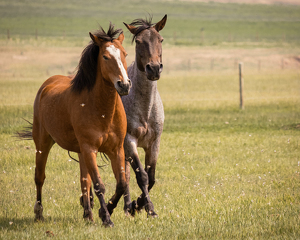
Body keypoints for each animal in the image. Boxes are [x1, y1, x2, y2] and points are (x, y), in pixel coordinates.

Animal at [22, 23, 131, 227]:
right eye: (105, 56)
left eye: (125, 54)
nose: (124, 85)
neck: (101, 109)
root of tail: (47, 85)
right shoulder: (89, 149)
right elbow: (99, 185)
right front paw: (106, 218)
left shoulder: (116, 149)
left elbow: (121, 184)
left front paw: (106, 209)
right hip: (43, 144)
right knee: (39, 177)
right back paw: (39, 213)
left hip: (80, 152)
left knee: (83, 180)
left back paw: (88, 213)